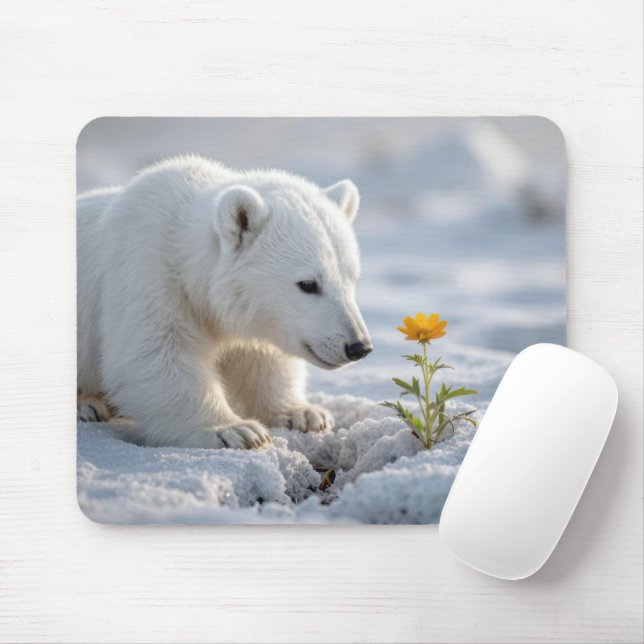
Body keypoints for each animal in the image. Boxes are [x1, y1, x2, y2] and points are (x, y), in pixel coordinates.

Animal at [77, 155, 372, 450]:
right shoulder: (146, 273)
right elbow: (154, 353)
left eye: (352, 279)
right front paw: (236, 430)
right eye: (308, 284)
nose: (358, 346)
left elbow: (262, 359)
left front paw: (303, 414)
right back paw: (88, 406)